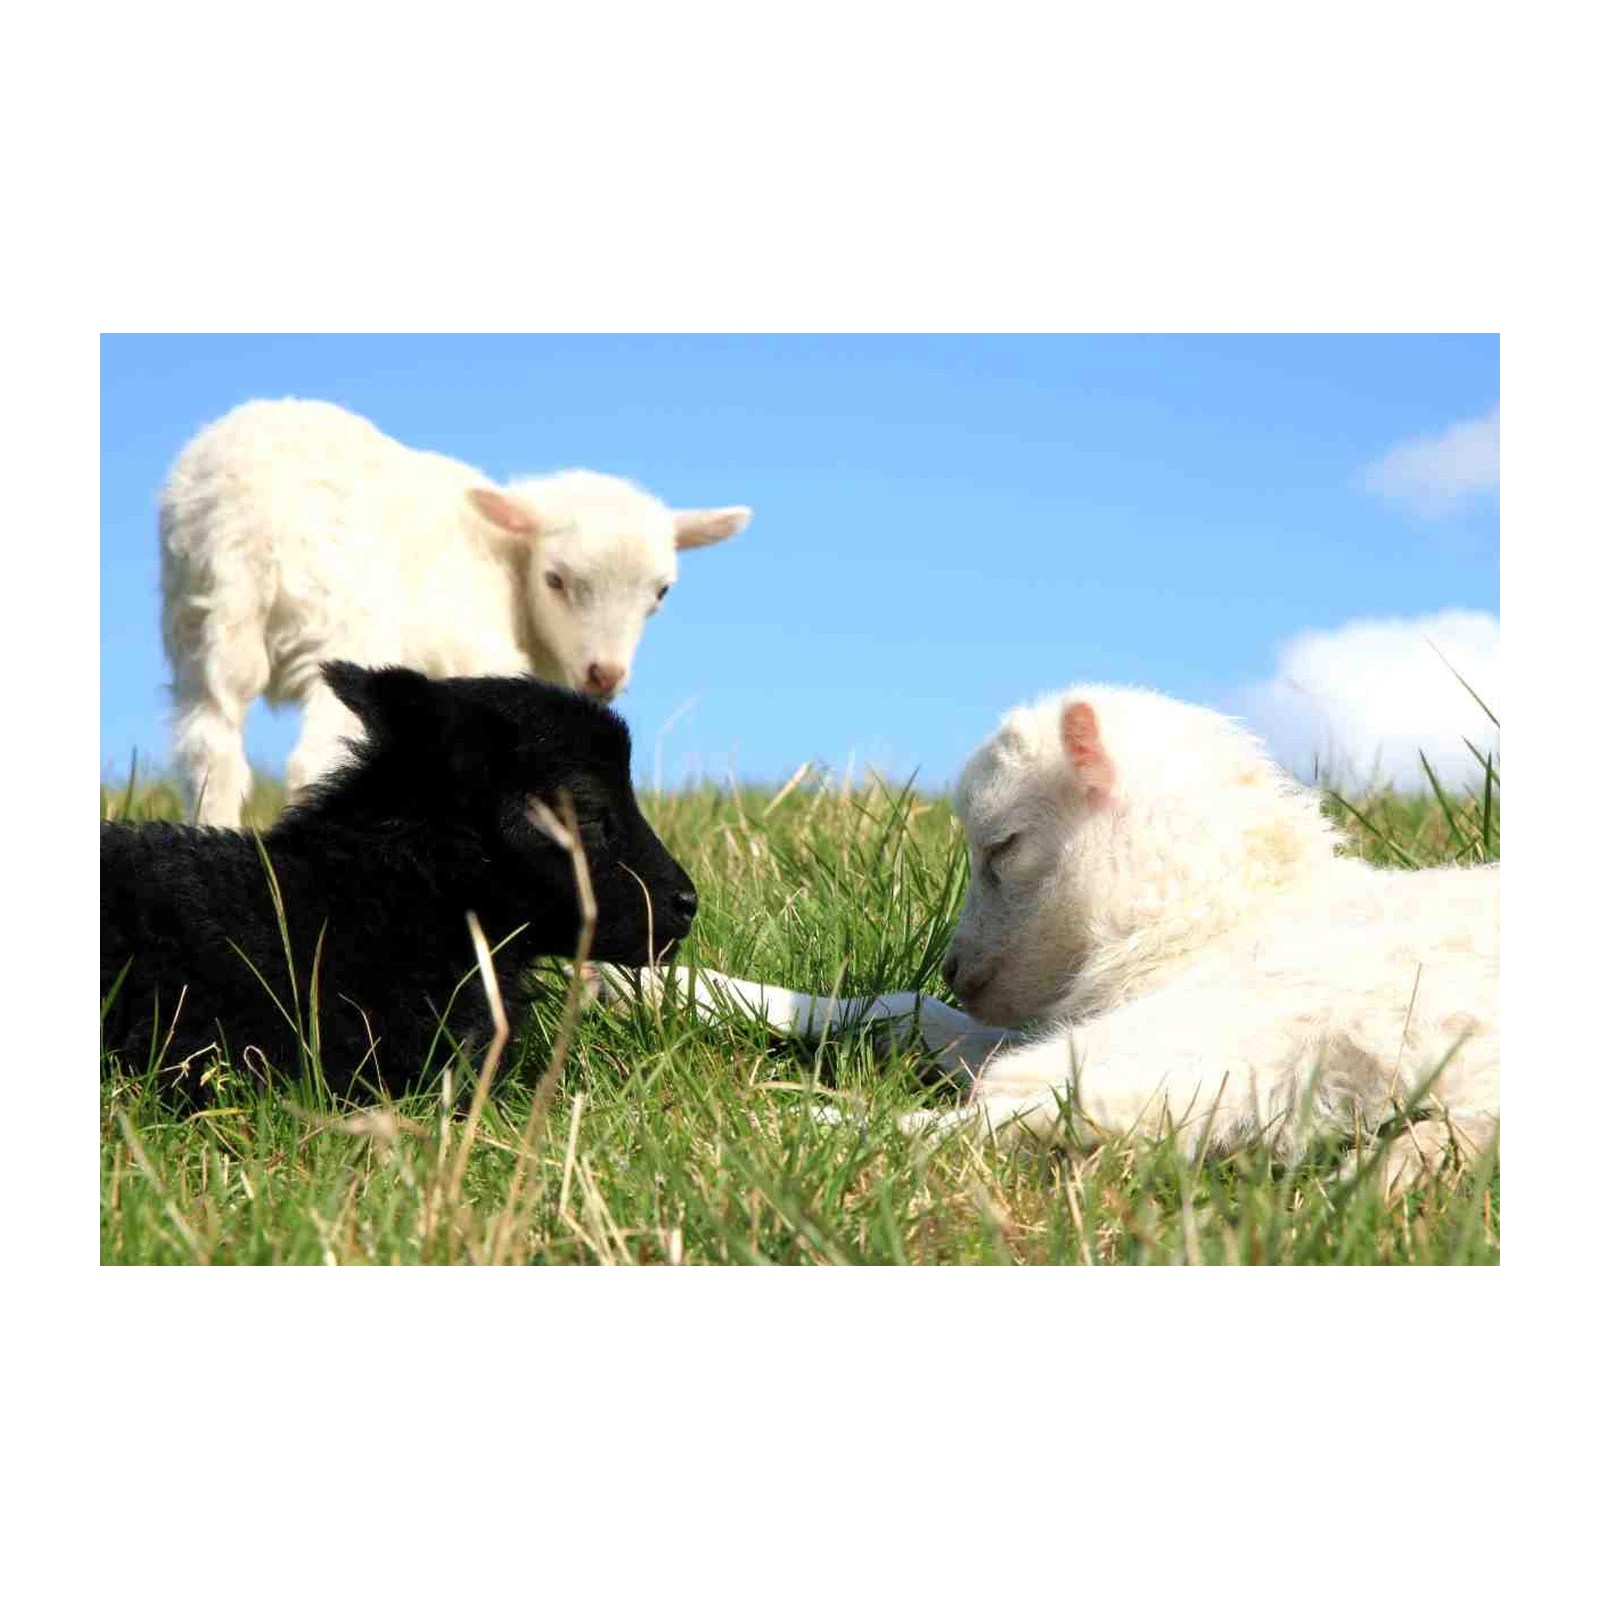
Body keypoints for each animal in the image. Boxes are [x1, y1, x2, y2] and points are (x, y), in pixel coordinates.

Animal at [159, 398, 751, 827]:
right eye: (555, 579)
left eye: (661, 592)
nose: (604, 675)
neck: (510, 567)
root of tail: (244, 515)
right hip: (343, 623)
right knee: (313, 759)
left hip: (199, 623)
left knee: (209, 753)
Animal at [604, 685, 1503, 1194]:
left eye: (1001, 845)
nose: (958, 968)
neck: (1220, 917)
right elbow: (903, 1012)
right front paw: (654, 989)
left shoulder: (1215, 1040)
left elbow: (1022, 1098)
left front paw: (778, 1126)